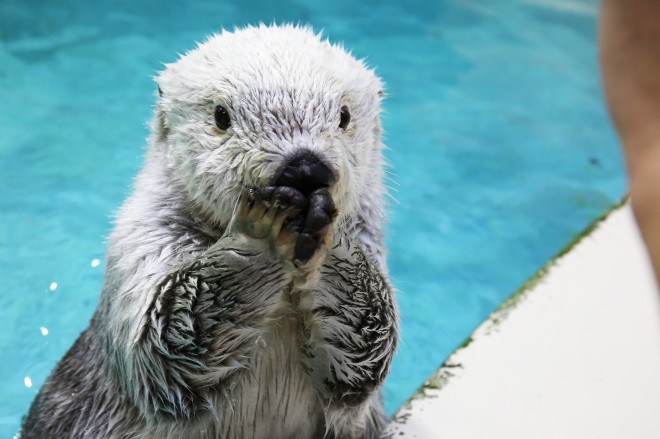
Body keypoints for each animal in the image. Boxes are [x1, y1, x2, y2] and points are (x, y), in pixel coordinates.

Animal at [21, 24, 398, 439]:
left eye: (344, 116)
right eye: (221, 115)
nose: (303, 168)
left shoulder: (372, 249)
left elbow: (365, 354)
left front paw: (329, 237)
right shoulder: (142, 244)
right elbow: (162, 350)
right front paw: (261, 232)